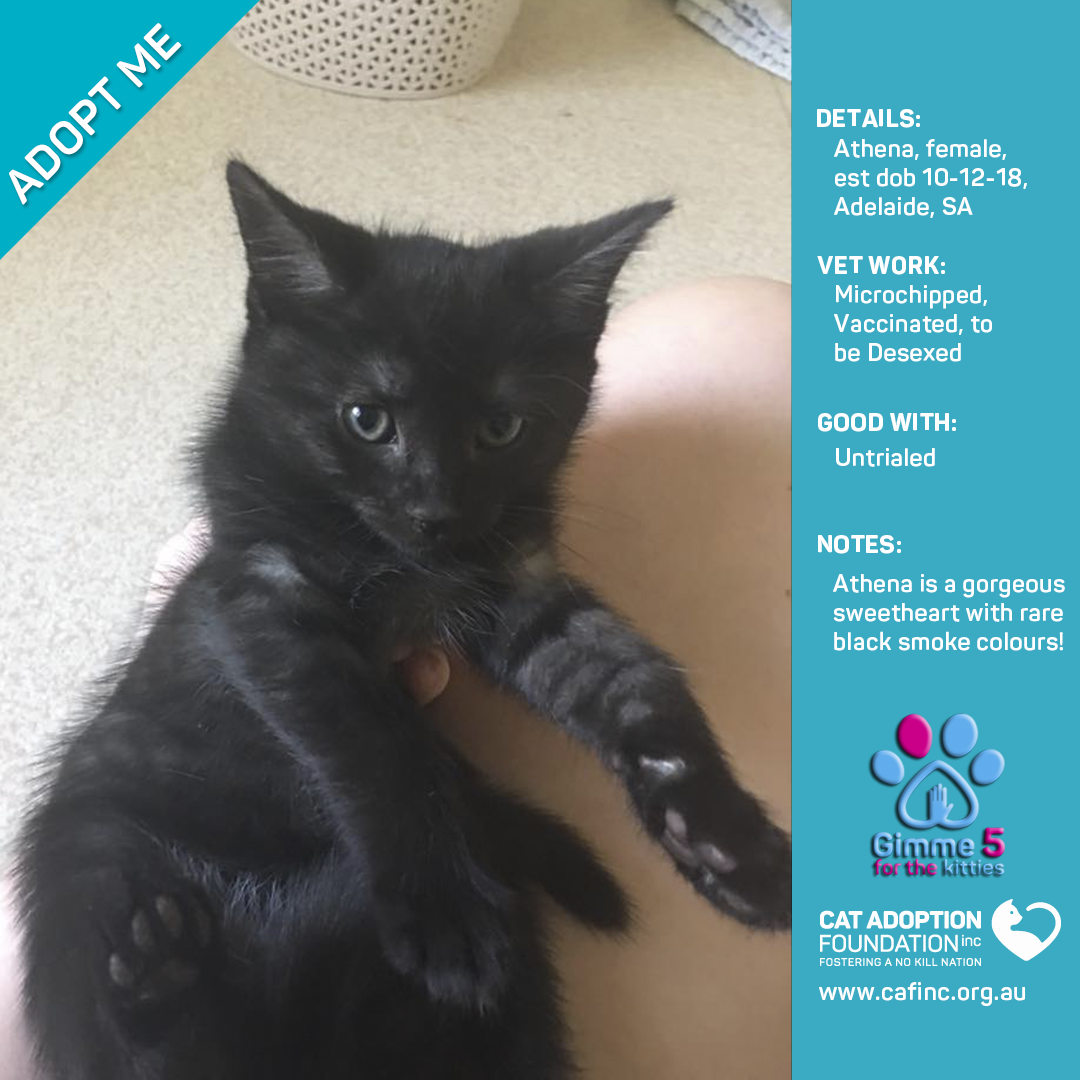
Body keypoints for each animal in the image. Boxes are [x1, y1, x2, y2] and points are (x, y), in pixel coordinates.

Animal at [15, 161, 791, 1080]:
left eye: (501, 427)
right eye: (367, 419)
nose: (436, 511)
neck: (407, 561)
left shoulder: (519, 593)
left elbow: (634, 677)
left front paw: (722, 837)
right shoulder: (265, 597)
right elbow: (380, 745)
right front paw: (445, 914)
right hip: (92, 858)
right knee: (137, 1044)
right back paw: (156, 974)